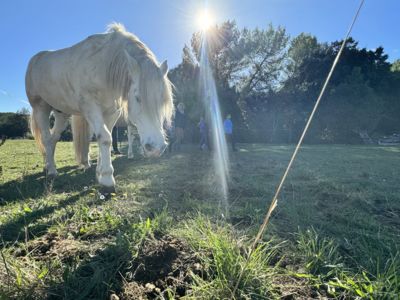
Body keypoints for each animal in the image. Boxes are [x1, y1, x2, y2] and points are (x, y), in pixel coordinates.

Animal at [26, 24, 173, 192]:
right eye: (137, 97)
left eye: (163, 100)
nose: (156, 148)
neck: (104, 67)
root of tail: (36, 59)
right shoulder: (90, 107)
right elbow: (105, 138)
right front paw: (108, 179)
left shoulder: (111, 112)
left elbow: (105, 137)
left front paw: (100, 173)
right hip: (40, 107)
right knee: (46, 137)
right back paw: (51, 170)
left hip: (61, 113)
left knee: (53, 137)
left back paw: (47, 165)